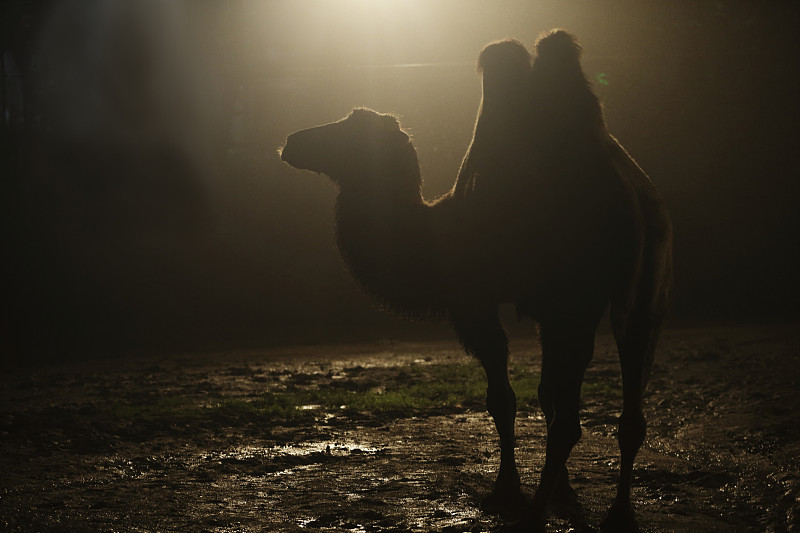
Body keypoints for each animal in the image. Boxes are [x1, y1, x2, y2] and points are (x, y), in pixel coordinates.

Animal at [278, 30, 672, 532]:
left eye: (347, 128)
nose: (292, 141)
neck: (433, 231)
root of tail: (629, 200)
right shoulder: (542, 308)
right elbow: (546, 394)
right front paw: (563, 489)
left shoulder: (475, 303)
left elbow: (502, 398)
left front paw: (506, 490)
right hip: (643, 295)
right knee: (626, 405)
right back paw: (620, 513)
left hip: (576, 297)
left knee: (573, 420)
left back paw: (536, 514)